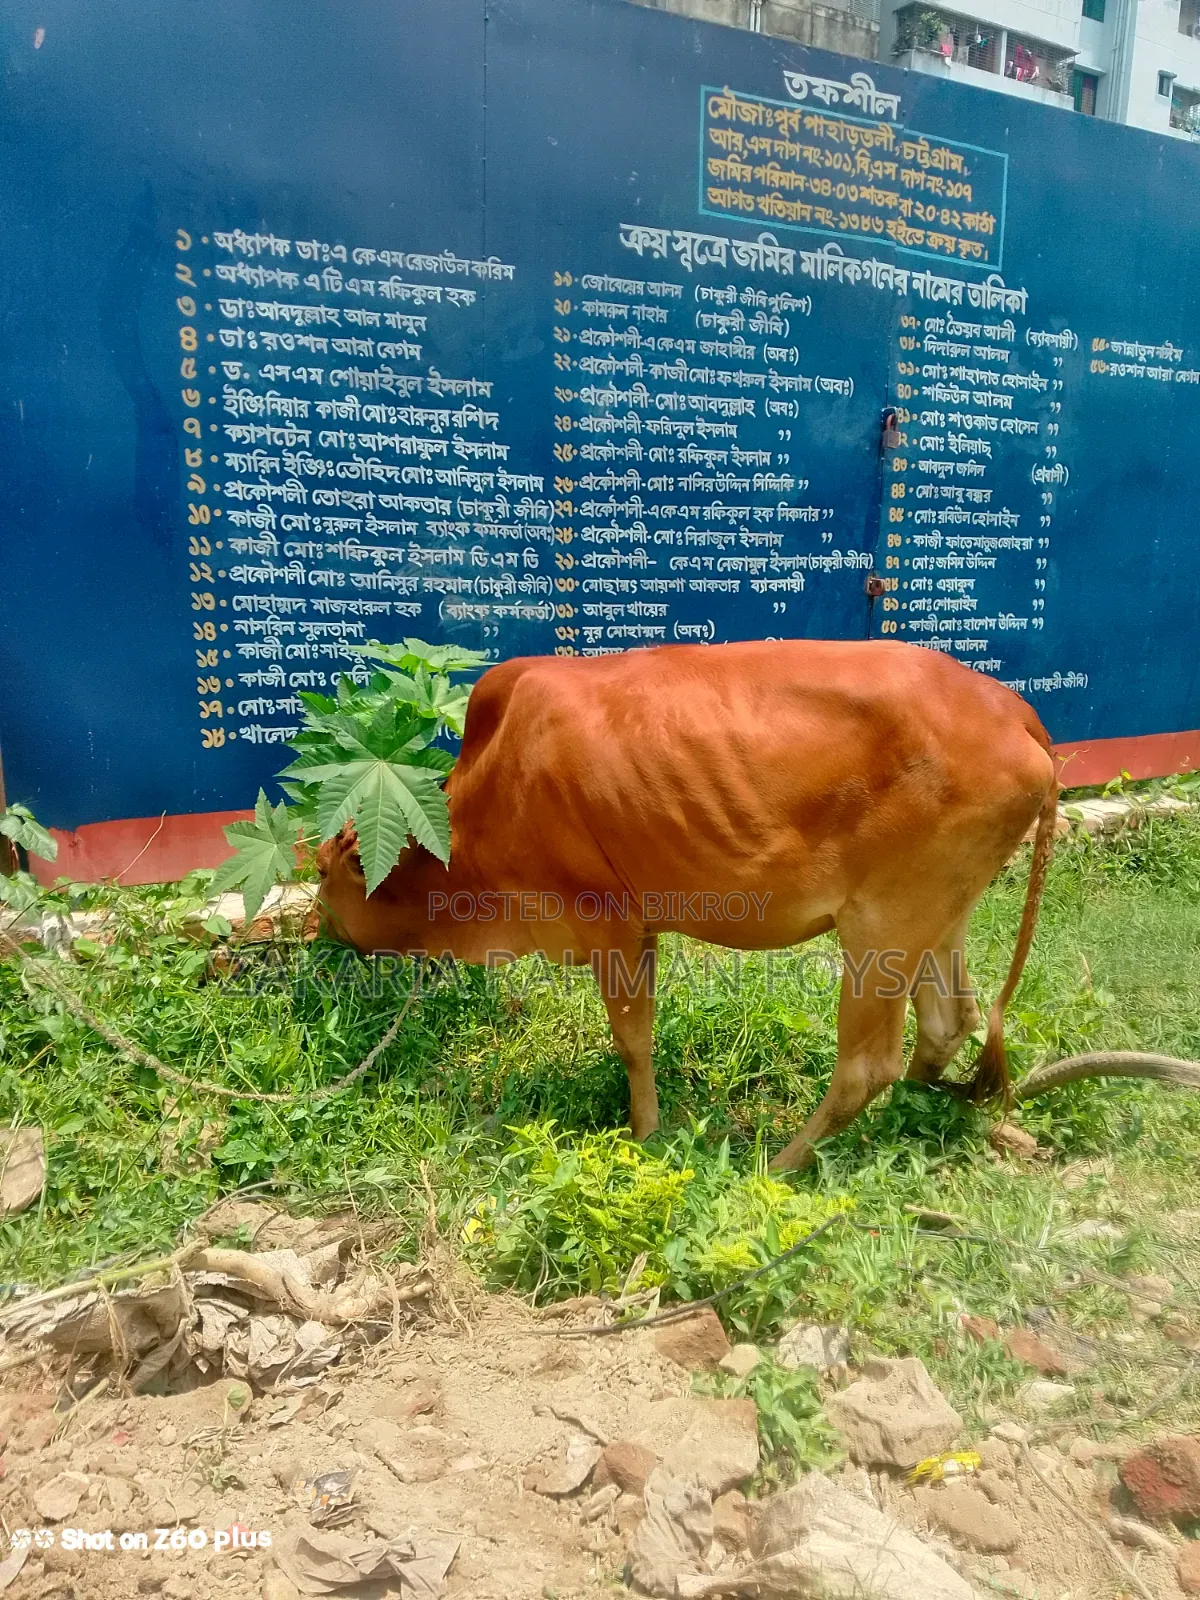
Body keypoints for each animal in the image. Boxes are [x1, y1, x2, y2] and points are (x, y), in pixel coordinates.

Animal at [316, 638, 1058, 1169]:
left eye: (322, 873)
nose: (318, 937)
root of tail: (1013, 710)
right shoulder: (641, 927)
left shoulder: (606, 922)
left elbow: (632, 1042)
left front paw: (644, 1135)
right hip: (940, 915)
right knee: (948, 1023)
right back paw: (902, 1118)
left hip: (883, 927)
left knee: (864, 1069)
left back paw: (781, 1164)